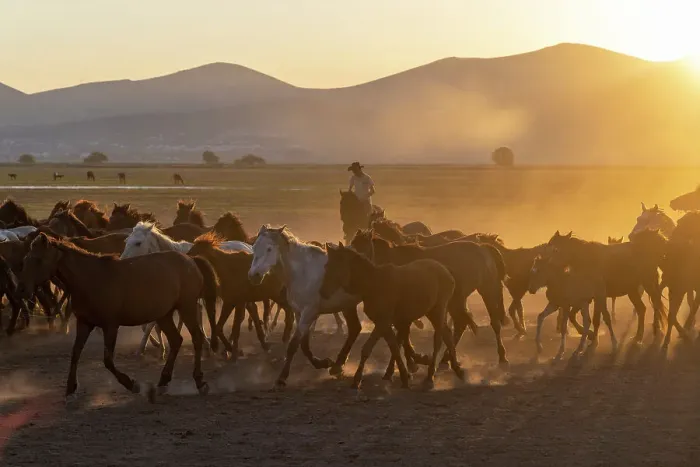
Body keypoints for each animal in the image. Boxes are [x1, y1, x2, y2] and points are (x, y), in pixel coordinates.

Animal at [15, 233, 220, 401]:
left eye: (39, 260)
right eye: (25, 259)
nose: (22, 290)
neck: (90, 279)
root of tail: (191, 260)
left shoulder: (110, 326)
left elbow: (108, 360)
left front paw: (133, 385)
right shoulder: (84, 323)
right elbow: (75, 353)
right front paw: (70, 389)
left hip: (187, 307)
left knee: (196, 338)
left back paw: (200, 382)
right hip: (164, 314)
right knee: (176, 340)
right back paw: (163, 383)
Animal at [121, 222, 251, 357]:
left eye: (138, 243)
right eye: (126, 241)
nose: (122, 260)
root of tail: (247, 247)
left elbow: (151, 326)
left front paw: (144, 348)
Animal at [248, 225, 362, 388]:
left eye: (269, 249)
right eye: (254, 247)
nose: (253, 276)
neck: (302, 273)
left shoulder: (309, 312)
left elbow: (294, 345)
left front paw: (282, 377)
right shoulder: (299, 313)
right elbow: (304, 345)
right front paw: (323, 363)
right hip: (348, 305)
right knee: (355, 329)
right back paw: (337, 366)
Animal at [321, 243, 463, 389]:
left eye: (337, 267)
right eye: (327, 266)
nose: (323, 292)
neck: (374, 284)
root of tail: (446, 270)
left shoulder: (382, 322)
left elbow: (367, 348)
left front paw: (357, 380)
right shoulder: (384, 323)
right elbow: (394, 347)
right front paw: (403, 376)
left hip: (438, 309)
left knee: (438, 340)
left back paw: (430, 377)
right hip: (431, 312)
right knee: (447, 335)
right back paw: (456, 369)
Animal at [350, 229, 508, 366]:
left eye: (363, 247)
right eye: (353, 244)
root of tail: (483, 248)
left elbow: (403, 334)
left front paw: (414, 361)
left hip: (486, 289)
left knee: (493, 322)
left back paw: (502, 356)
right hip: (459, 299)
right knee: (461, 324)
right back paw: (446, 358)